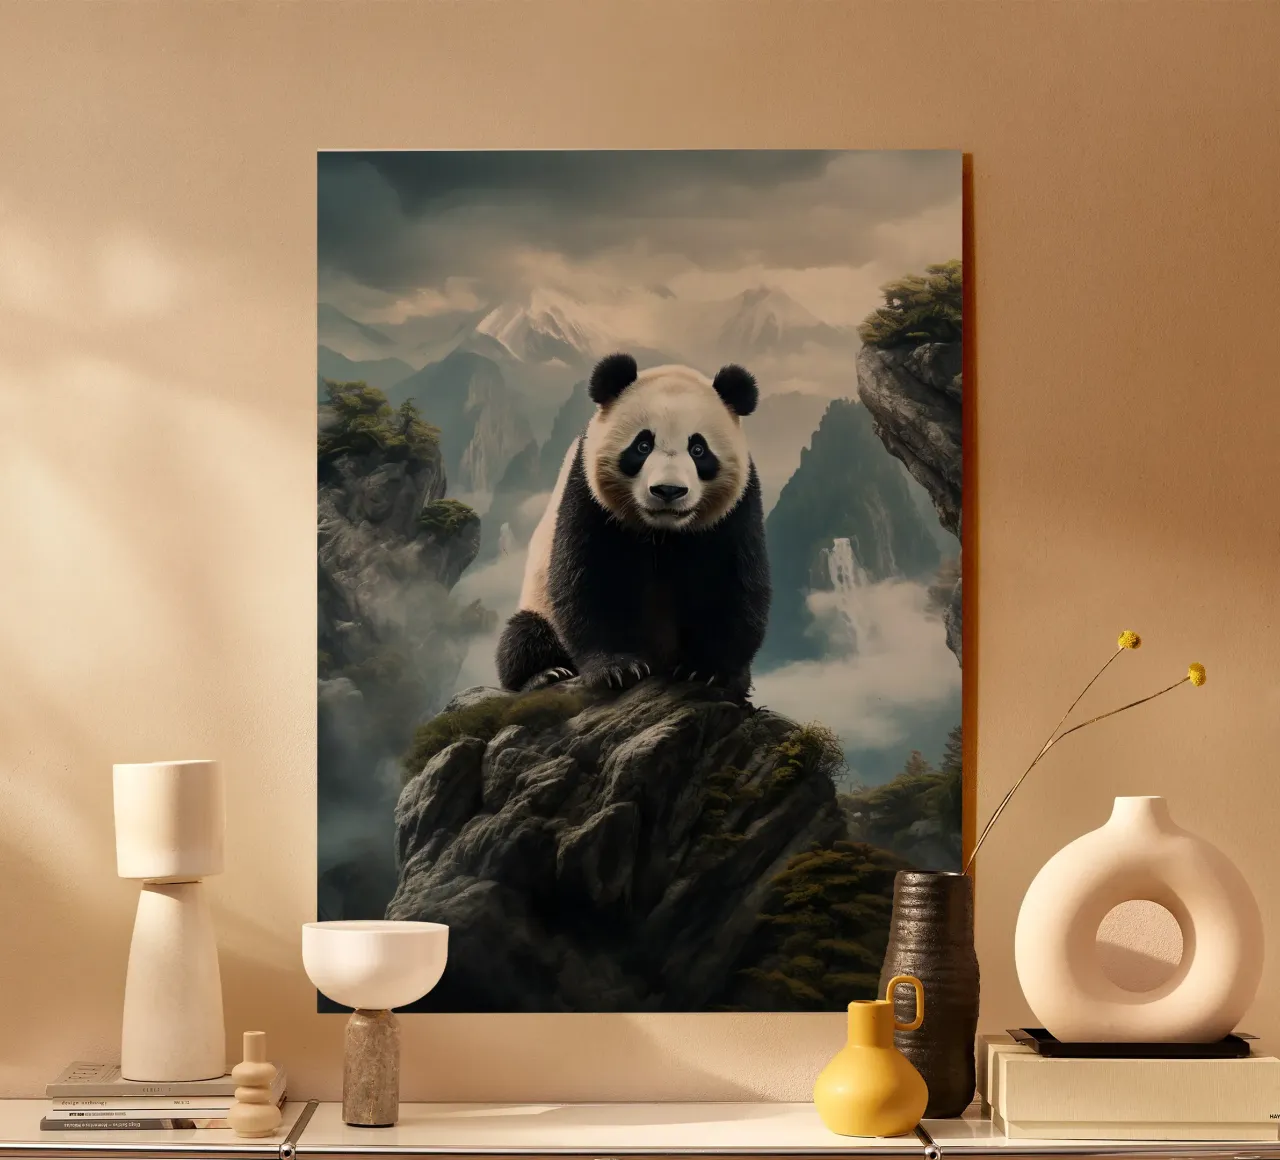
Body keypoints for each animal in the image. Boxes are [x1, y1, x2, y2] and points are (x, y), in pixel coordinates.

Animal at [495, 352, 770, 699]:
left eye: (698, 449)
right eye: (642, 446)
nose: (668, 490)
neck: (662, 532)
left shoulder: (736, 508)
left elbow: (734, 580)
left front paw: (707, 670)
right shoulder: (588, 494)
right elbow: (588, 576)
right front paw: (617, 669)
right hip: (538, 604)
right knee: (523, 635)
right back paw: (545, 674)